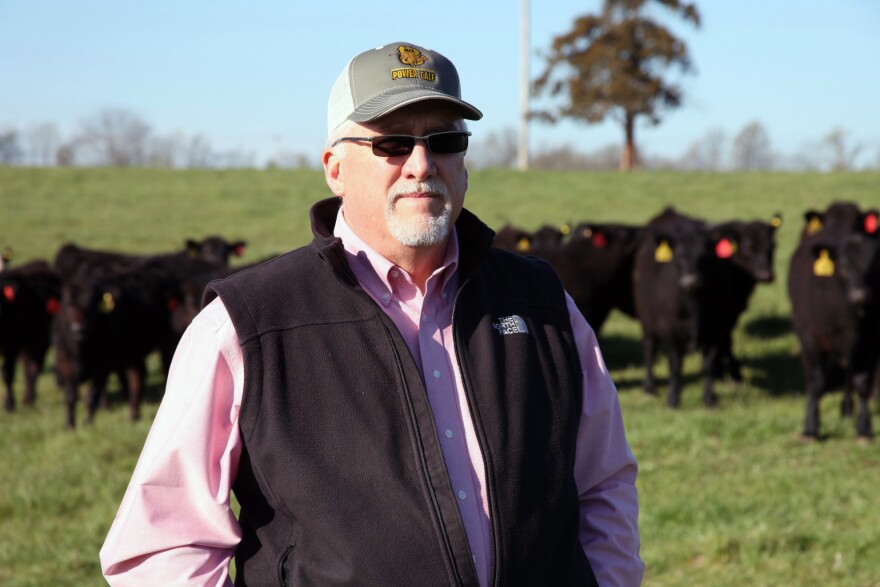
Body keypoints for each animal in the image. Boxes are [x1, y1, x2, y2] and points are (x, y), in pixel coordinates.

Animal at [0, 262, 60, 414]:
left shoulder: (12, 346)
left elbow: (7, 374)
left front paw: (9, 405)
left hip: (40, 341)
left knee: (33, 368)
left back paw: (29, 399)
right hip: (28, 344)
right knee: (29, 368)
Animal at [792, 208, 880, 440]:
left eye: (874, 268)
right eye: (843, 265)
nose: (860, 295)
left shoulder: (868, 342)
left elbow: (862, 382)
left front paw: (864, 429)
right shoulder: (811, 338)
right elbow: (816, 382)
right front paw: (810, 429)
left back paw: (847, 408)